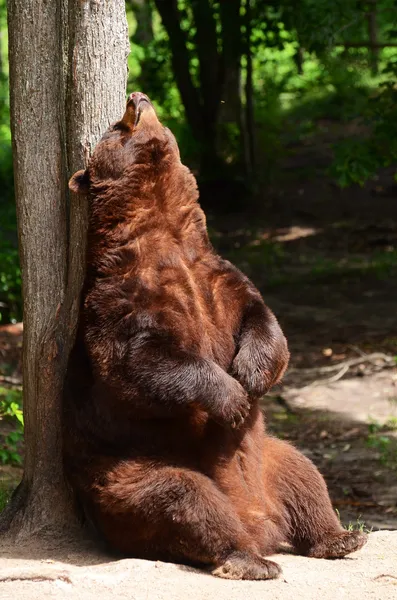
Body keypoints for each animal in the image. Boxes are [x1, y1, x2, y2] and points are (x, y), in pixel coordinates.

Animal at [63, 91, 366, 580]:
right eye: (116, 127)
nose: (137, 97)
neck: (162, 227)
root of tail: (260, 521)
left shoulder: (215, 275)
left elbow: (263, 320)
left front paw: (251, 374)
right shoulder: (122, 293)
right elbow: (140, 360)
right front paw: (233, 397)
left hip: (271, 459)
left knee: (305, 475)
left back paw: (340, 536)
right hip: (128, 474)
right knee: (184, 498)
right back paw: (246, 559)